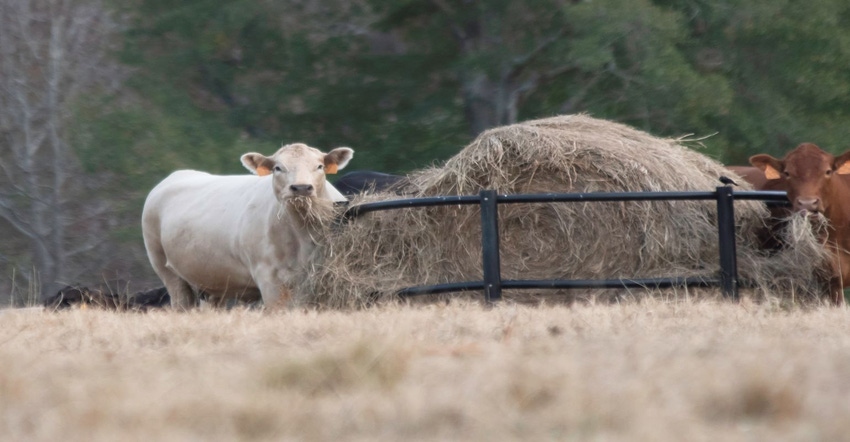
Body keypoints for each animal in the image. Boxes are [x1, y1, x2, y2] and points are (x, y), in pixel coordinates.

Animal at [142, 143, 352, 310]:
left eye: (320, 166)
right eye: (278, 168)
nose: (301, 188)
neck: (301, 237)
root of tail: (178, 174)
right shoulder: (268, 278)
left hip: (213, 281)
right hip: (165, 269)